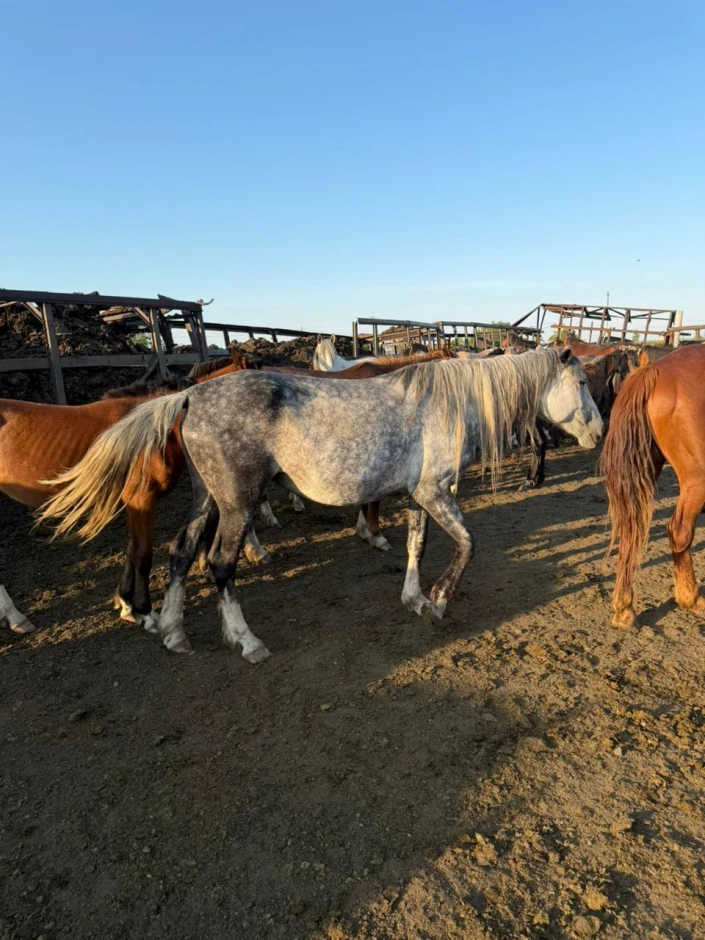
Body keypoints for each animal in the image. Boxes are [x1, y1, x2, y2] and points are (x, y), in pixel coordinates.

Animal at [0, 352, 274, 636]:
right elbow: (143, 554)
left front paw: (125, 603)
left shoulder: (133, 503)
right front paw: (145, 611)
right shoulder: (142, 500)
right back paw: (16, 618)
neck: (157, 422)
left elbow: (131, 550)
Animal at [40, 348, 603, 657]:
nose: (598, 431)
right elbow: (466, 544)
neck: (449, 402)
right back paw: (246, 641)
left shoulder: (418, 496)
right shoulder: (436, 492)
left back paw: (173, 631)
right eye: (580, 382)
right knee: (219, 564)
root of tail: (189, 395)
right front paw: (440, 601)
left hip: (208, 500)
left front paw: (415, 598)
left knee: (181, 553)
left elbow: (417, 547)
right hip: (238, 504)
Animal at [601, 344, 705, 628]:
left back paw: (624, 605)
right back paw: (690, 597)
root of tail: (654, 370)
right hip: (697, 480)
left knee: (629, 529)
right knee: (679, 531)